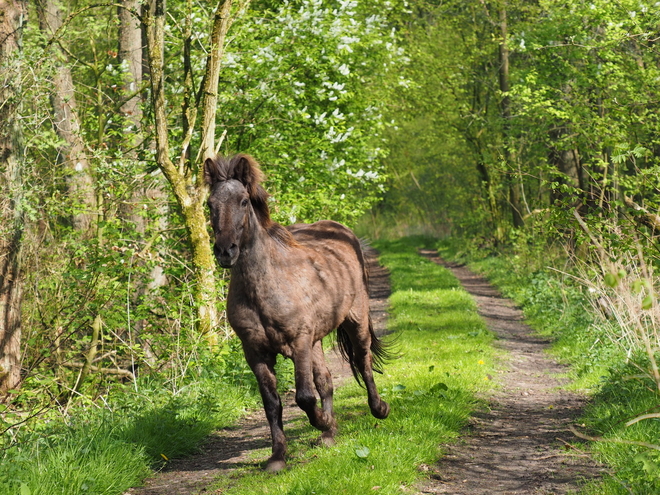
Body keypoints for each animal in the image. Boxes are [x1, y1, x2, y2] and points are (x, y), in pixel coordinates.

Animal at [206, 153, 390, 470]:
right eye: (210, 203)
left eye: (243, 201)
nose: (225, 251)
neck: (265, 286)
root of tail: (342, 231)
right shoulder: (255, 352)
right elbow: (272, 403)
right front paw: (278, 456)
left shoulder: (299, 341)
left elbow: (304, 396)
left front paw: (322, 420)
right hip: (316, 341)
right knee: (325, 380)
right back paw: (329, 435)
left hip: (355, 322)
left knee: (363, 362)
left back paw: (377, 409)